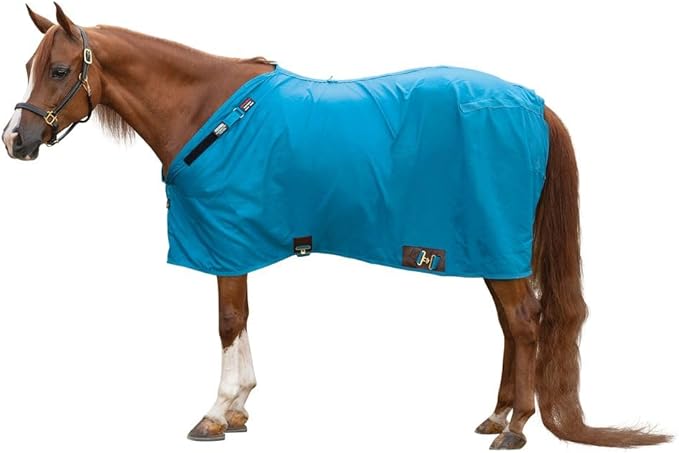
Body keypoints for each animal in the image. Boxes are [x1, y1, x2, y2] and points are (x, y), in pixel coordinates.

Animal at [1, 4, 670, 450]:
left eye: (59, 70)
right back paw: (498, 415)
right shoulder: (239, 242)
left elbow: (227, 321)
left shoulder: (224, 238)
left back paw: (515, 429)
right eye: (30, 65)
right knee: (512, 326)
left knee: (526, 324)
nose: (16, 141)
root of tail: (534, 103)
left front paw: (216, 414)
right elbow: (243, 319)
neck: (209, 114)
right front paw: (241, 408)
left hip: (494, 245)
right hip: (488, 249)